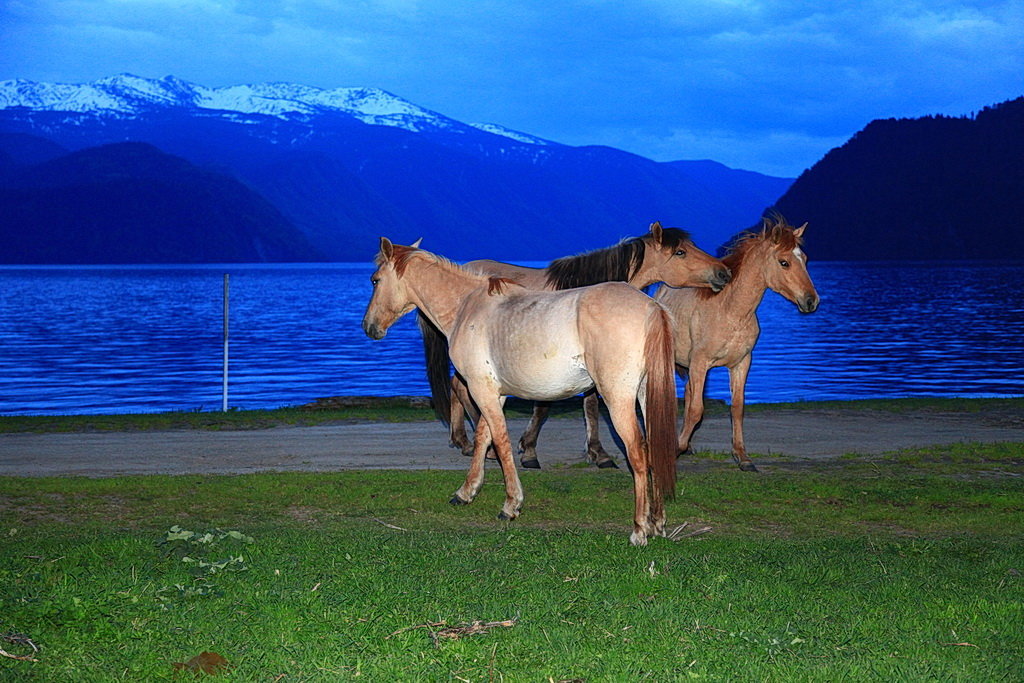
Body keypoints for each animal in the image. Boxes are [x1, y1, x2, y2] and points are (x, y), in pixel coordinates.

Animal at [366, 237, 679, 548]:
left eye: (375, 280)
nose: (369, 326)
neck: (468, 307)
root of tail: (651, 307)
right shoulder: (493, 393)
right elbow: (483, 437)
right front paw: (466, 492)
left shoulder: (481, 390)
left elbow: (500, 442)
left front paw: (511, 504)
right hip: (645, 395)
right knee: (654, 447)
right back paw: (657, 521)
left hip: (617, 398)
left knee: (638, 452)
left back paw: (639, 529)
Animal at [423, 224, 729, 471]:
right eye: (680, 252)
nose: (723, 272)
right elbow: (544, 407)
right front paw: (529, 450)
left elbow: (590, 404)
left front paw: (598, 454)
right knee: (461, 388)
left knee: (457, 386)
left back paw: (462, 440)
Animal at [659, 216, 819, 473]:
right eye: (784, 262)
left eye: (804, 259)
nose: (811, 301)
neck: (730, 310)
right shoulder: (700, 363)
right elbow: (696, 409)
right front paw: (675, 448)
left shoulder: (741, 363)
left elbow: (737, 408)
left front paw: (742, 457)